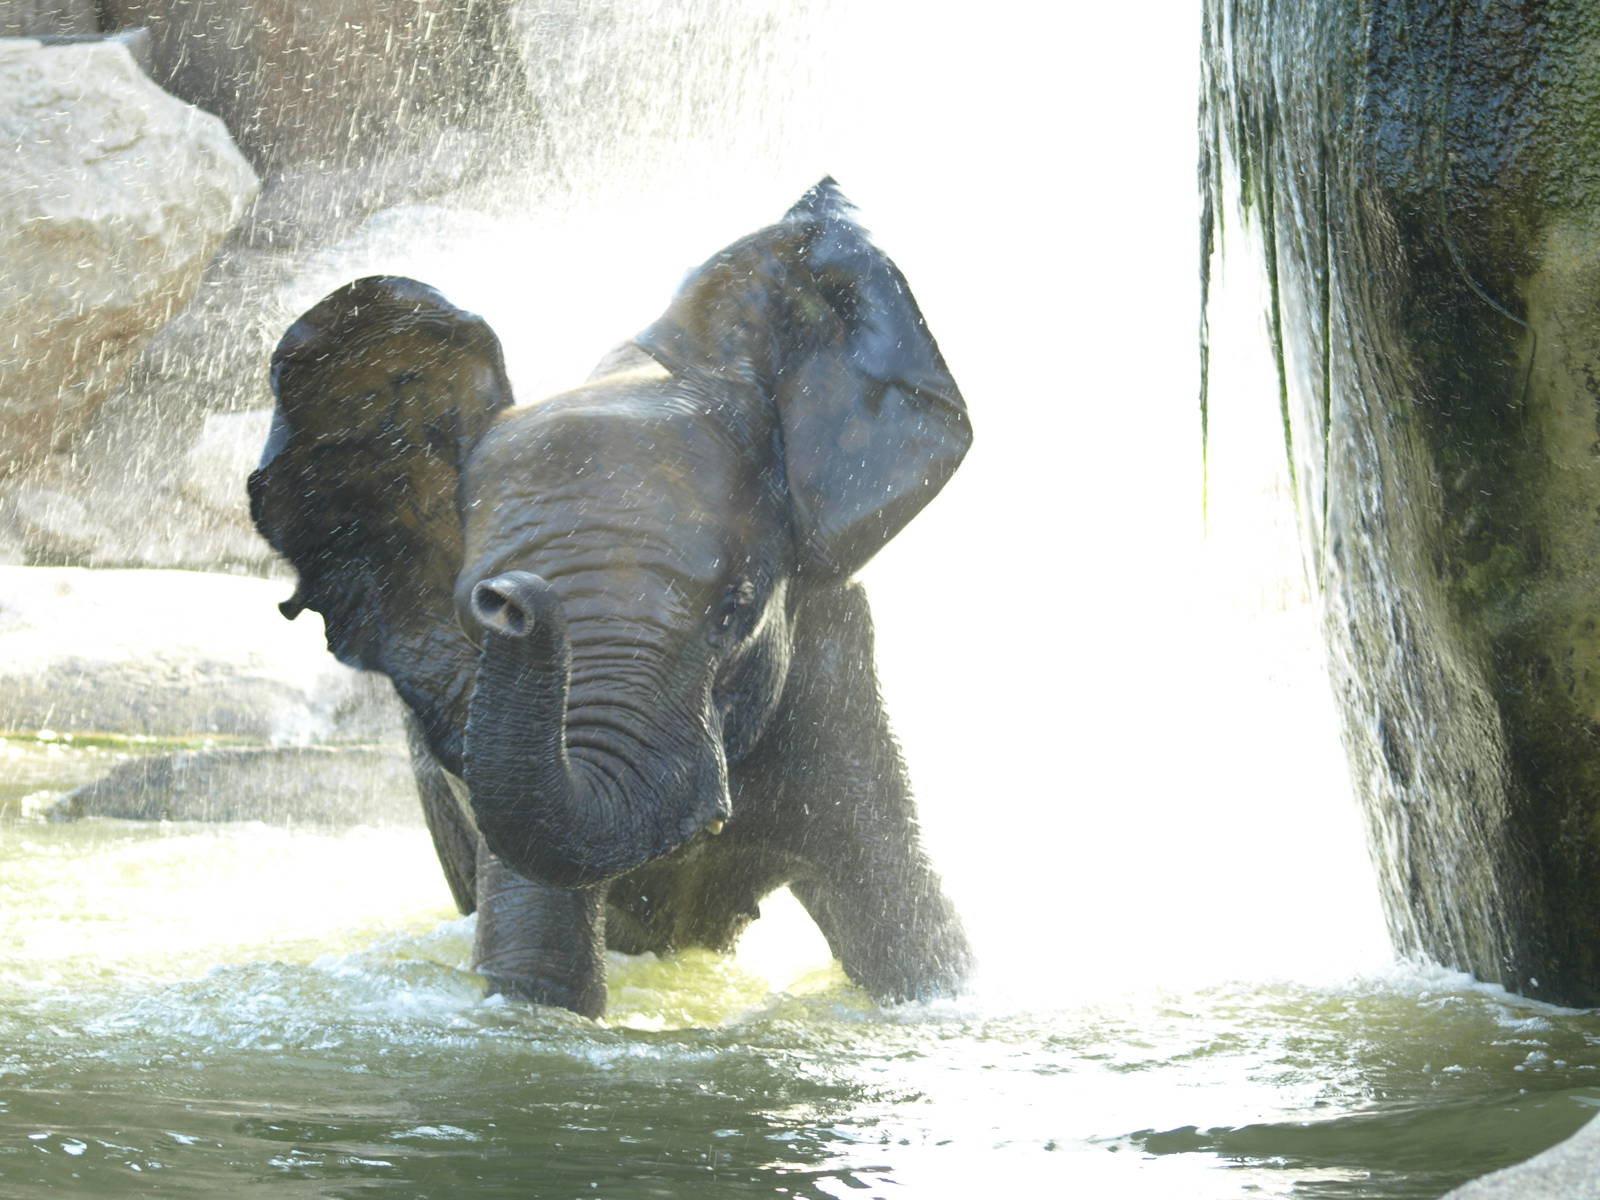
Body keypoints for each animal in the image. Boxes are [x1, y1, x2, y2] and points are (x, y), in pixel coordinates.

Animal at [248, 179, 974, 1016]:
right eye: (475, 612)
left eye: (735, 610)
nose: (516, 601)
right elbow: (540, 958)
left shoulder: (832, 659)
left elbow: (910, 932)